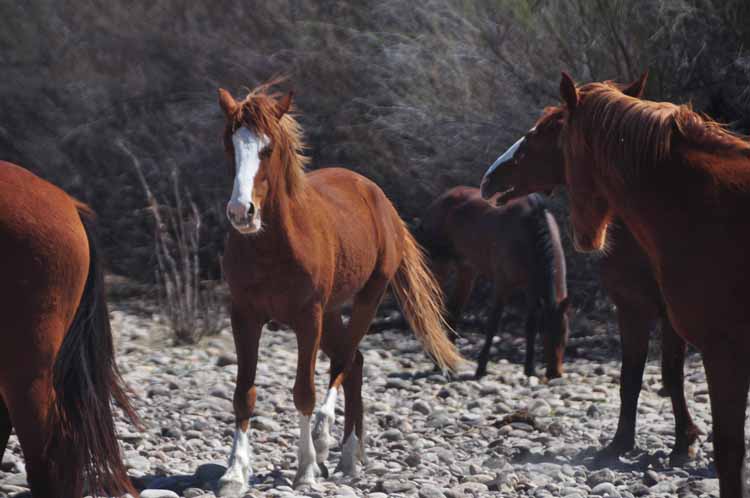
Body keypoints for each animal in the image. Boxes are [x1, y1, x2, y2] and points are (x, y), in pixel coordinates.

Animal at [214, 85, 464, 494]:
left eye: (269, 148)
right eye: (229, 145)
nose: (241, 212)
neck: (272, 245)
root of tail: (377, 195)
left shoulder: (307, 317)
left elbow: (304, 391)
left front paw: (306, 468)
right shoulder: (245, 315)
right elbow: (243, 394)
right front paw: (234, 473)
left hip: (365, 300)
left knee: (345, 361)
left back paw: (332, 446)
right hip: (331, 312)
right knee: (355, 361)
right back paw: (348, 456)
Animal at [420, 186, 572, 378]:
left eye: (565, 333)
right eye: (545, 332)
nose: (554, 372)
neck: (529, 234)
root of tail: (440, 200)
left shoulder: (531, 289)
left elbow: (530, 325)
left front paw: (529, 369)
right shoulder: (502, 284)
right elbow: (493, 324)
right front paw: (481, 368)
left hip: (466, 269)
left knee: (454, 310)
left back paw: (447, 360)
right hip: (440, 264)